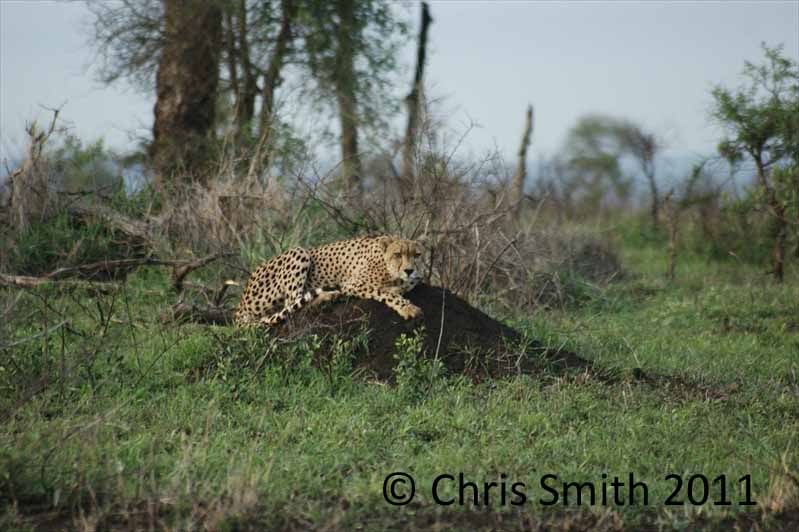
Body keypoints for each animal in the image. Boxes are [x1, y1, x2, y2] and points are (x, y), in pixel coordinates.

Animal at [233, 235, 424, 327]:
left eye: (417, 255)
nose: (409, 270)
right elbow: (384, 292)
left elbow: (408, 284)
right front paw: (408, 308)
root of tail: (240, 304)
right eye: (398, 254)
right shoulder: (352, 284)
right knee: (292, 304)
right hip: (299, 251)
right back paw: (326, 297)